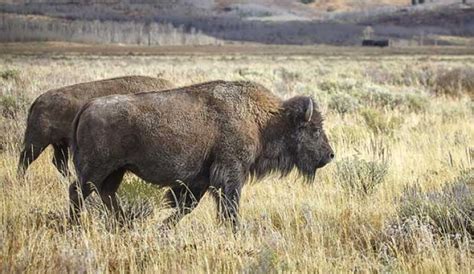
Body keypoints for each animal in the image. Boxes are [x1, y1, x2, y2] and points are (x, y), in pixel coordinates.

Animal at [69, 79, 334, 229]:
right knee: (78, 191)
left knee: (106, 194)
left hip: (116, 170)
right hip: (96, 169)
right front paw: (234, 230)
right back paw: (75, 227)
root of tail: (88, 106)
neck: (263, 120)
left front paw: (162, 229)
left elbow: (187, 206)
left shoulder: (201, 180)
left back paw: (124, 226)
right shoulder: (231, 172)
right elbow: (229, 206)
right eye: (314, 129)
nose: (330, 155)